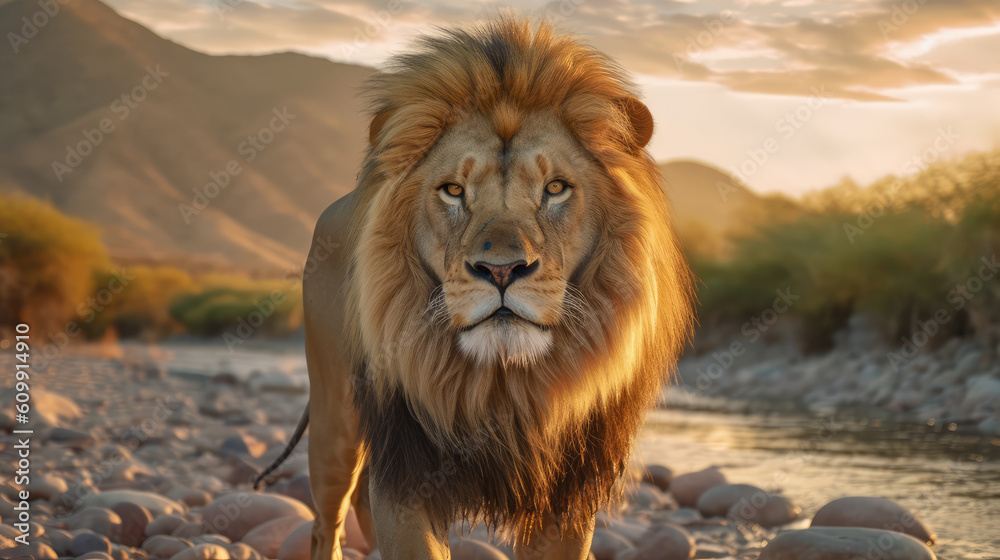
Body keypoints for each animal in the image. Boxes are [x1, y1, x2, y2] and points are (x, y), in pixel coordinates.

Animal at [255, 17, 694, 560]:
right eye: (454, 190)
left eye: (555, 188)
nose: (502, 270)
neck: (502, 385)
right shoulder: (407, 474)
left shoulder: (566, 495)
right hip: (334, 421)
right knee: (326, 522)